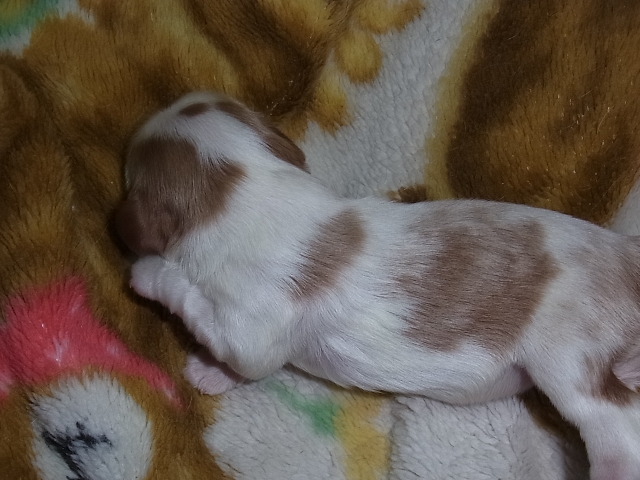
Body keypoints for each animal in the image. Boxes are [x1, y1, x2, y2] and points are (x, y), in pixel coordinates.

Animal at [116, 91, 640, 480]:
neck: (245, 184)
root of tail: (626, 253)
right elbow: (242, 363)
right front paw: (211, 373)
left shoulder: (251, 326)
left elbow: (206, 314)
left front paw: (147, 273)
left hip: (567, 357)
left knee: (615, 418)